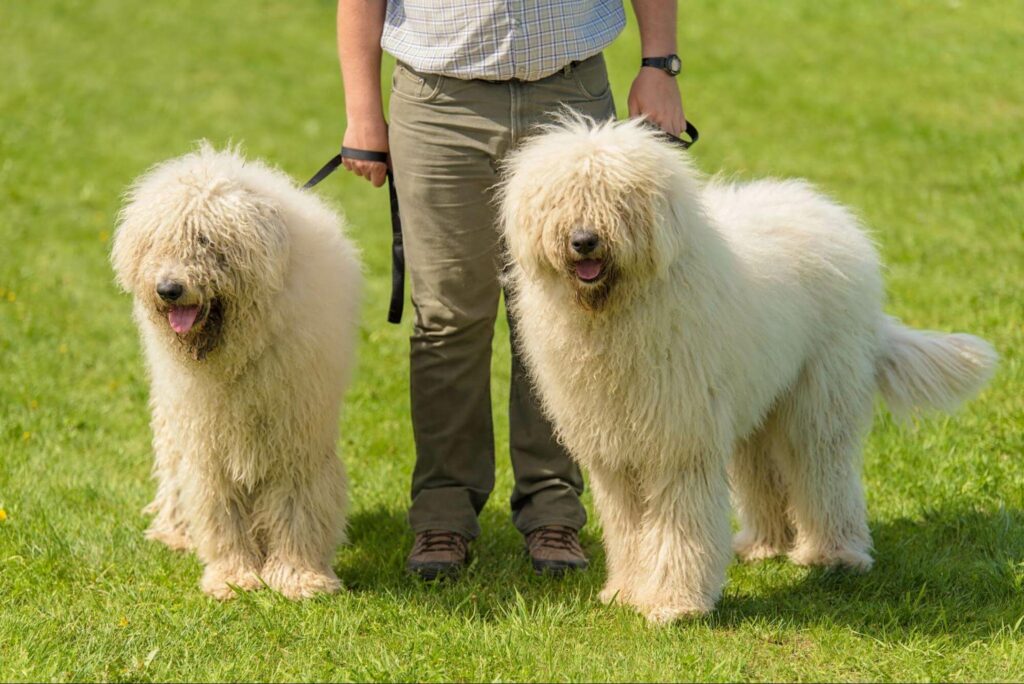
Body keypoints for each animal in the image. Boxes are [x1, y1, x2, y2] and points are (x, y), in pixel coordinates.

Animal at [111, 145, 360, 597]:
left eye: (206, 239)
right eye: (158, 241)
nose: (168, 289)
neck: (239, 351)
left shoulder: (296, 432)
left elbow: (297, 503)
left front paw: (298, 577)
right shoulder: (209, 441)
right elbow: (220, 510)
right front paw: (235, 577)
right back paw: (177, 532)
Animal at [499, 118, 995, 626]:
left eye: (618, 199)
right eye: (559, 199)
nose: (583, 241)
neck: (616, 312)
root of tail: (832, 215)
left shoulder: (680, 440)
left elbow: (678, 524)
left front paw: (673, 604)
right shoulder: (615, 451)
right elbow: (629, 528)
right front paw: (626, 592)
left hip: (819, 394)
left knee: (824, 469)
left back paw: (836, 554)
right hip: (758, 398)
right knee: (762, 471)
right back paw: (765, 545)